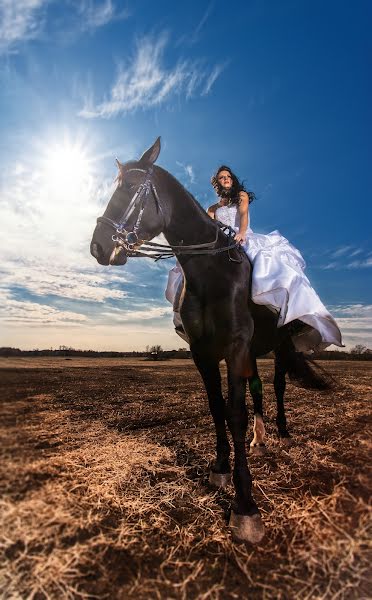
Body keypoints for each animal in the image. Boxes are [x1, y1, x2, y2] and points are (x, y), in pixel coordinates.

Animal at [91, 137, 330, 544]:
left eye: (130, 188)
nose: (98, 247)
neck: (211, 271)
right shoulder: (202, 353)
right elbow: (218, 408)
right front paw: (219, 468)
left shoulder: (234, 347)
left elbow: (235, 414)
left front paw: (245, 505)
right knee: (258, 388)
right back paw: (259, 438)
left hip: (280, 346)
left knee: (278, 385)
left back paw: (281, 432)